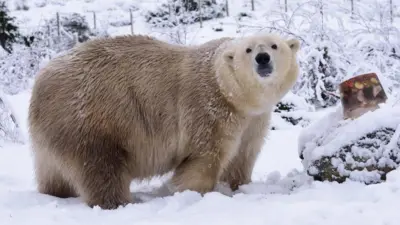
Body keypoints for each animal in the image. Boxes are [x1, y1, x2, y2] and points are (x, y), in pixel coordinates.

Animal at [28, 33, 300, 209]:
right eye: (248, 49)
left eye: (274, 45)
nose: (262, 58)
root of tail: (40, 84)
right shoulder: (208, 107)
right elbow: (205, 156)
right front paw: (192, 192)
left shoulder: (254, 119)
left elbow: (244, 154)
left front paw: (238, 186)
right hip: (92, 119)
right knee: (100, 166)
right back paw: (120, 202)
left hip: (55, 131)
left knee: (53, 172)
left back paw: (57, 193)